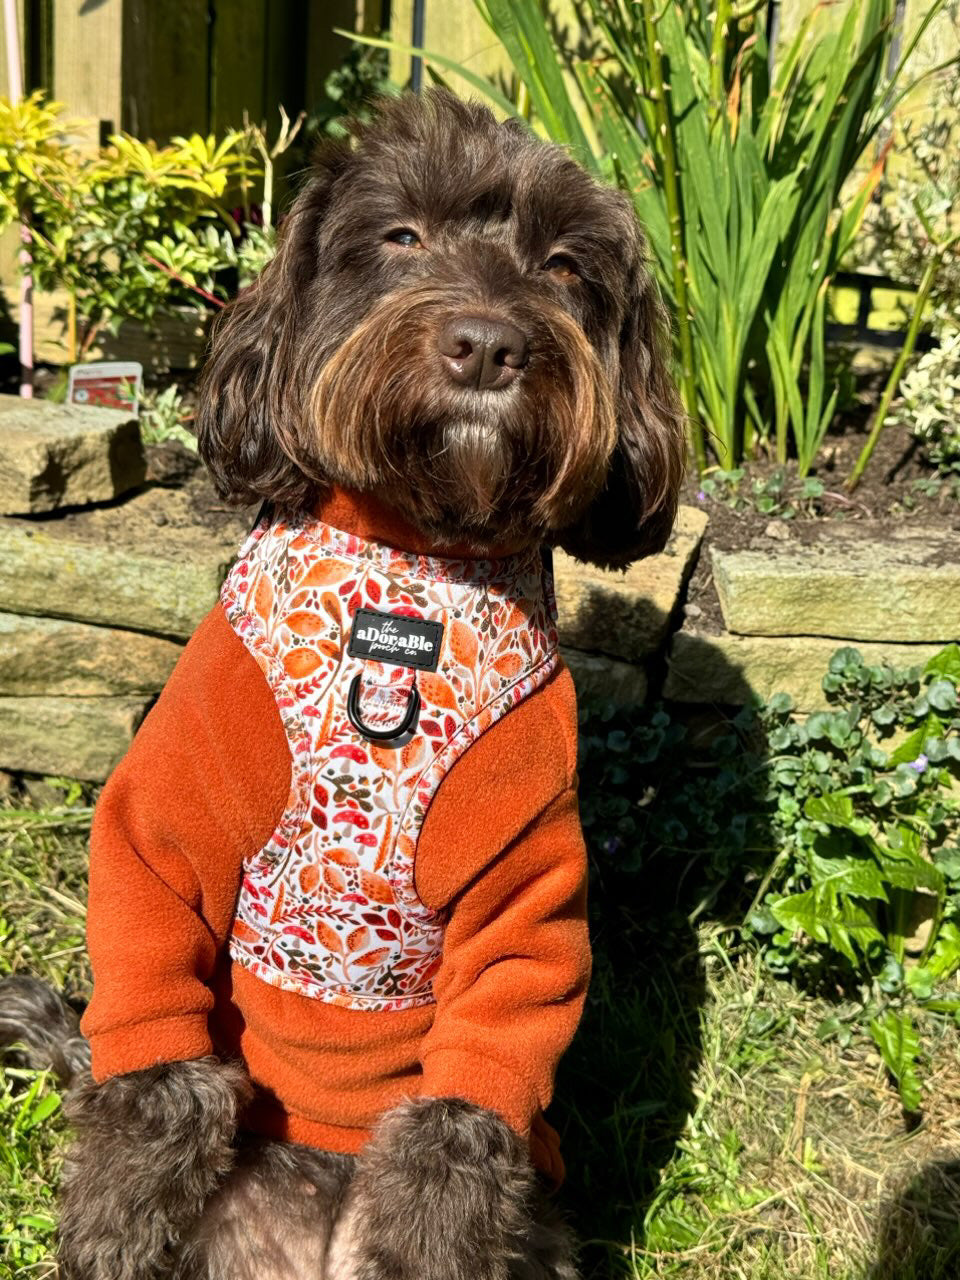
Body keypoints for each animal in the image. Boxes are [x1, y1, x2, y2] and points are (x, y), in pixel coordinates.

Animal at [0, 90, 686, 1280]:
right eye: (401, 235)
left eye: (563, 265)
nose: (488, 344)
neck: (413, 561)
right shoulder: (162, 824)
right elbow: (157, 1072)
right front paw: (113, 1224)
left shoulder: (525, 886)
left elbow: (464, 1115)